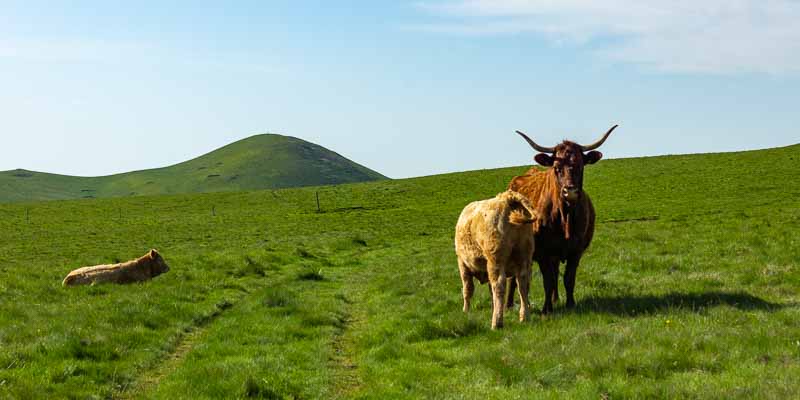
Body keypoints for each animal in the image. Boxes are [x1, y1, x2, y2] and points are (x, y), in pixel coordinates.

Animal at [456, 191, 536, 328]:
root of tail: (507, 197)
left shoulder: (462, 264)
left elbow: (467, 289)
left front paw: (465, 310)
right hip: (524, 256)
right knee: (523, 284)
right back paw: (524, 316)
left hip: (495, 259)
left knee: (499, 285)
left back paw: (497, 322)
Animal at [506, 124, 620, 312]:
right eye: (557, 168)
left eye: (580, 165)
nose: (570, 191)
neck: (564, 216)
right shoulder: (543, 252)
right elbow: (547, 280)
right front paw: (546, 309)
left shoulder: (576, 250)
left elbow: (568, 278)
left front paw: (570, 304)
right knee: (515, 277)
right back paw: (510, 304)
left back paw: (554, 299)